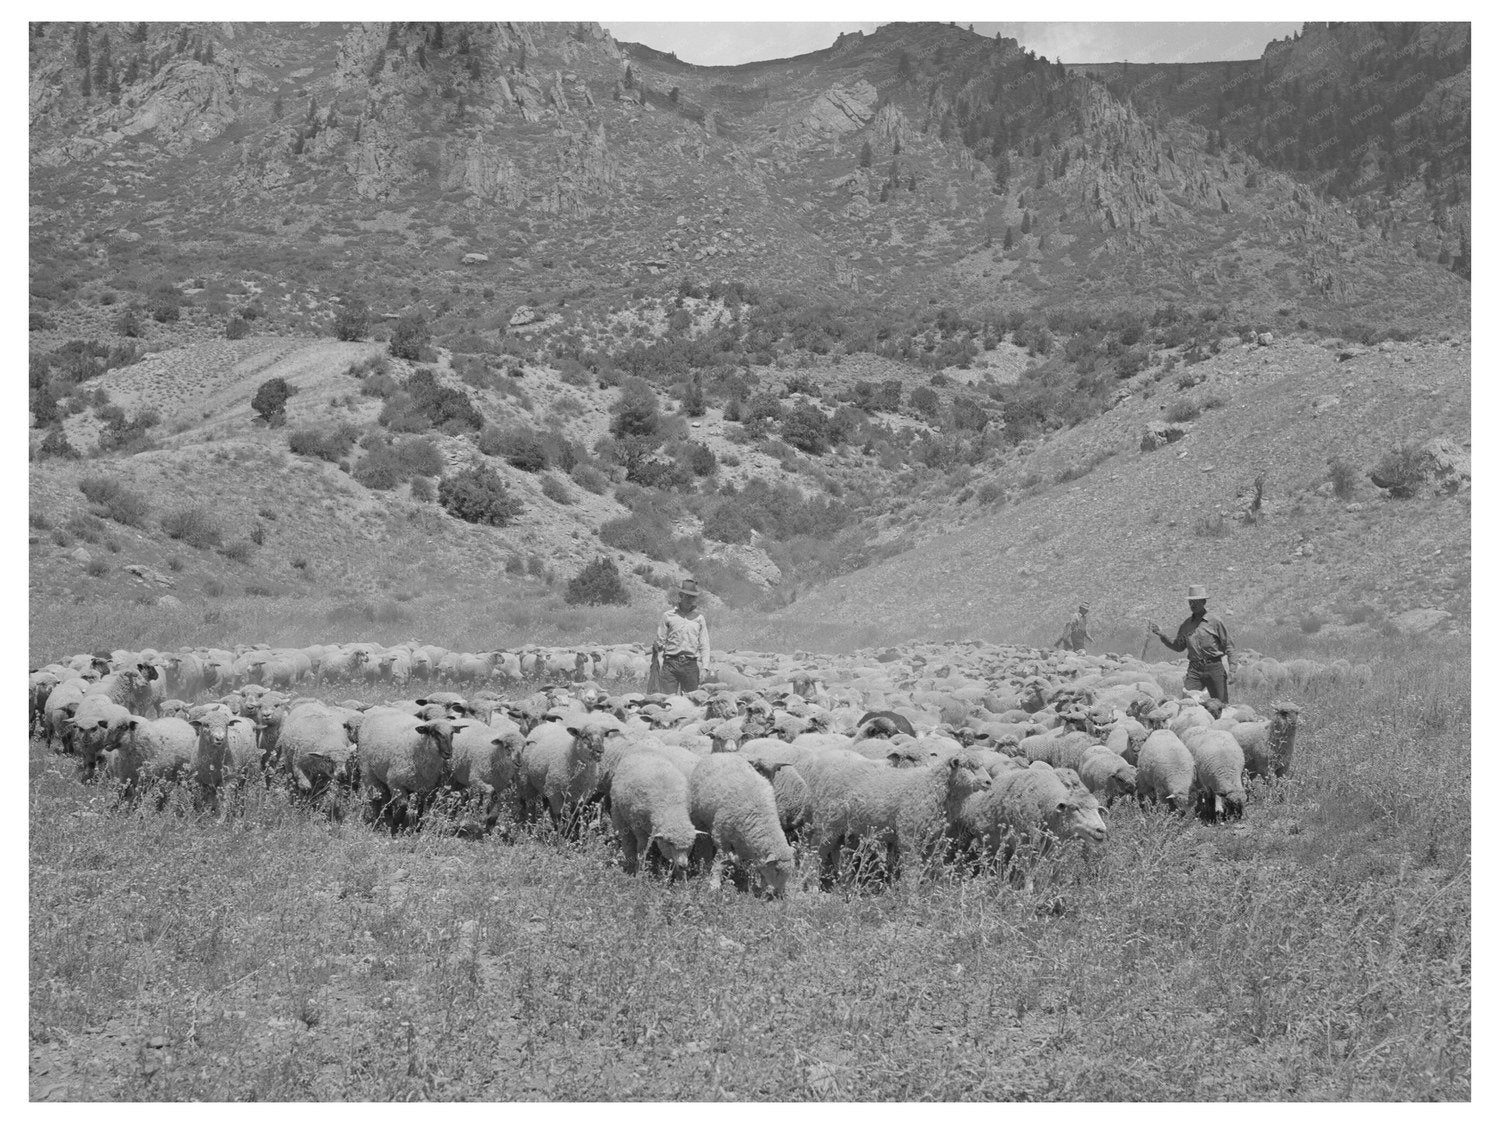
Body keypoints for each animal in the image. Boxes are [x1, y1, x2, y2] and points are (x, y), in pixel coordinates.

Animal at [687, 752, 797, 896]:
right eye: (777, 869)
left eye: (790, 870)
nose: (779, 894)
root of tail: (721, 753)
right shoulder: (721, 837)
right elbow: (719, 861)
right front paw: (714, 885)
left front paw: (760, 888)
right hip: (698, 818)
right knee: (703, 842)